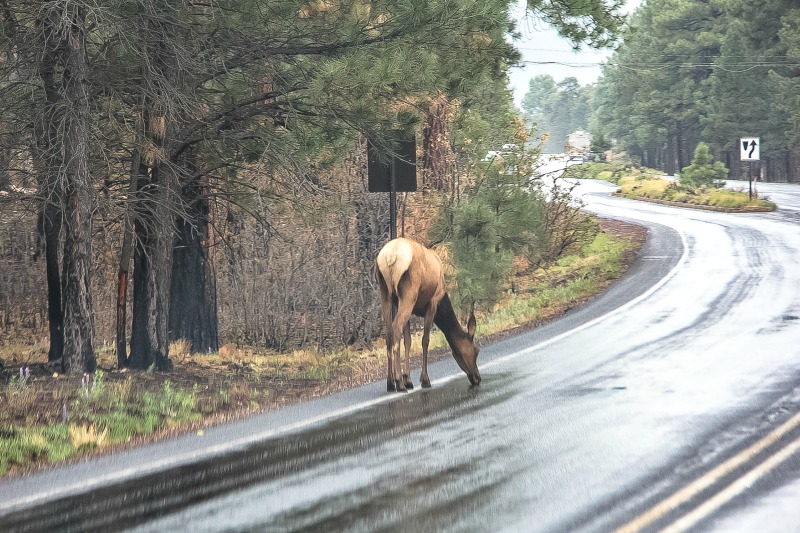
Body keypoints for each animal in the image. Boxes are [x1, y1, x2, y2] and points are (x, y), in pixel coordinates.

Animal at [376, 237, 482, 390]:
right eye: (476, 350)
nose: (477, 378)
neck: (443, 300)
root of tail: (390, 257)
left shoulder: (403, 304)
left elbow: (408, 341)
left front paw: (408, 379)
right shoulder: (433, 302)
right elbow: (425, 340)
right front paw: (424, 379)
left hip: (385, 294)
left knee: (389, 333)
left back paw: (390, 382)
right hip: (408, 295)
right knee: (395, 329)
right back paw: (398, 382)